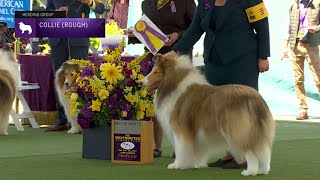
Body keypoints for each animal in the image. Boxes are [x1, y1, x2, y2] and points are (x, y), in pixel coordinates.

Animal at [141, 53, 276, 176]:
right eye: (152, 70)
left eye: (156, 72)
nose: (141, 82)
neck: (174, 84)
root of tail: (254, 97)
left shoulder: (180, 129)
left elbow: (180, 148)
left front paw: (177, 165)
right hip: (256, 130)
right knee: (263, 151)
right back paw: (262, 171)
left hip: (238, 131)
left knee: (250, 152)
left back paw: (249, 172)